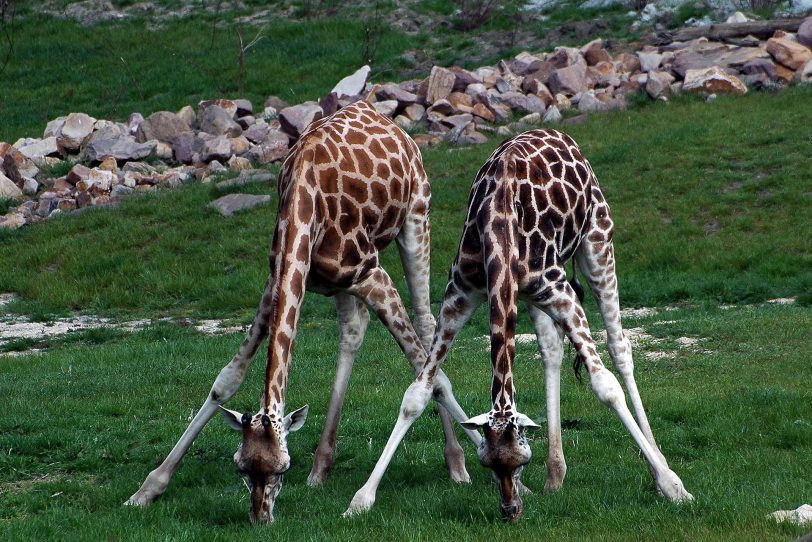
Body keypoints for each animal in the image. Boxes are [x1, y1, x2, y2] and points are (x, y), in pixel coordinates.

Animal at [125, 101, 476, 524]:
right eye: (241, 467)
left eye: (281, 469)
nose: (261, 518)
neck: (302, 209)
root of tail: (382, 116)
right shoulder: (277, 278)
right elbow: (226, 379)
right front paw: (148, 489)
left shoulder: (373, 275)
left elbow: (430, 375)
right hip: (342, 283)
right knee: (353, 329)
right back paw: (321, 467)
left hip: (416, 217)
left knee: (426, 324)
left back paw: (456, 465)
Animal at [346, 129, 696, 524]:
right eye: (488, 463)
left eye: (521, 459)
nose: (510, 511)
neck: (500, 230)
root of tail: (561, 136)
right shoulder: (459, 296)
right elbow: (416, 393)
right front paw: (361, 499)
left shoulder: (559, 291)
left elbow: (605, 385)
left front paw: (674, 487)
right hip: (532, 295)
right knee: (551, 349)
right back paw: (556, 475)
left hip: (597, 242)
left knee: (619, 348)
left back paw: (657, 465)